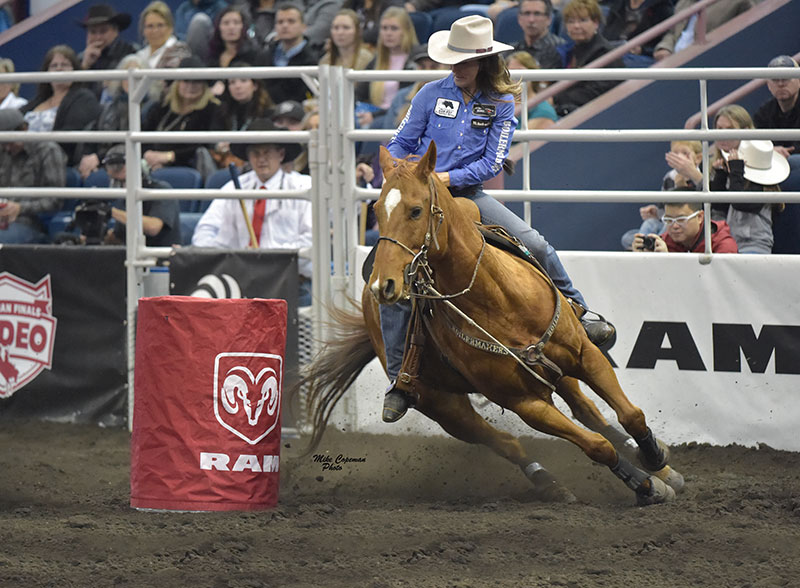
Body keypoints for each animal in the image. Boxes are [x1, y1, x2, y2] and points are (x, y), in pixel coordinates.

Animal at [296, 142, 684, 506]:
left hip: (557, 371)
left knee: (586, 410)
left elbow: (630, 414)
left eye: (416, 210)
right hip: (442, 405)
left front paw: (656, 461)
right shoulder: (524, 402)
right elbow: (597, 446)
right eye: (376, 210)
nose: (384, 285)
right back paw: (550, 485)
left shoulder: (586, 356)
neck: (501, 301)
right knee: (508, 443)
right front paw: (647, 485)